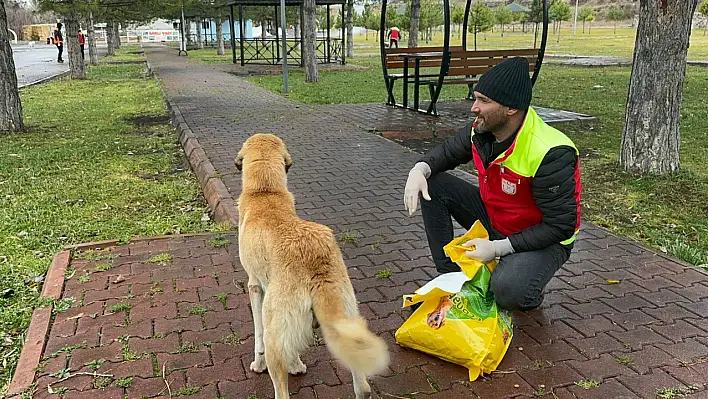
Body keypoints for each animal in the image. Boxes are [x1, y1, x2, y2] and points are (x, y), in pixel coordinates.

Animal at [234, 135, 388, 399]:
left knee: (281, 388)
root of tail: (315, 262)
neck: (265, 191)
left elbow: (258, 335)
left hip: (275, 331)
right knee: (363, 387)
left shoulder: (255, 288)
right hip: (348, 323)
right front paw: (296, 365)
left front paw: (259, 364)